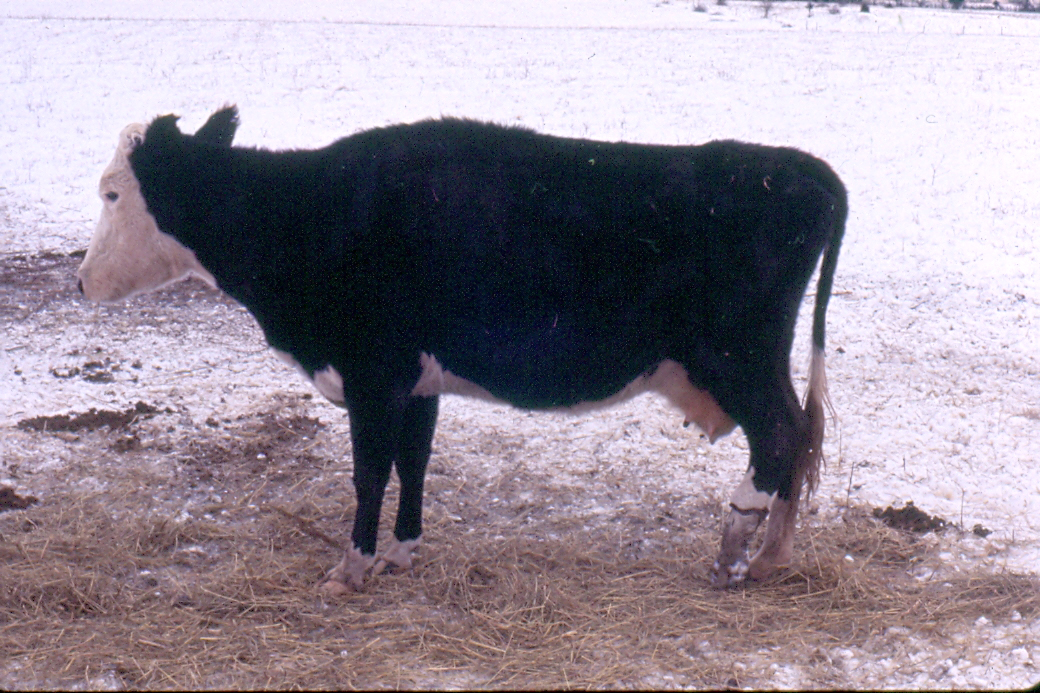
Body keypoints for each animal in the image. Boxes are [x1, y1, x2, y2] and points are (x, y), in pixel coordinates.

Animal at [79, 108, 844, 595]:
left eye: (111, 193)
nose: (82, 281)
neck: (306, 213)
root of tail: (799, 169)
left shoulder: (372, 374)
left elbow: (369, 473)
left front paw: (350, 569)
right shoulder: (418, 382)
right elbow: (413, 464)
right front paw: (402, 552)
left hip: (737, 355)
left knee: (781, 435)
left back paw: (734, 551)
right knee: (800, 435)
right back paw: (771, 554)